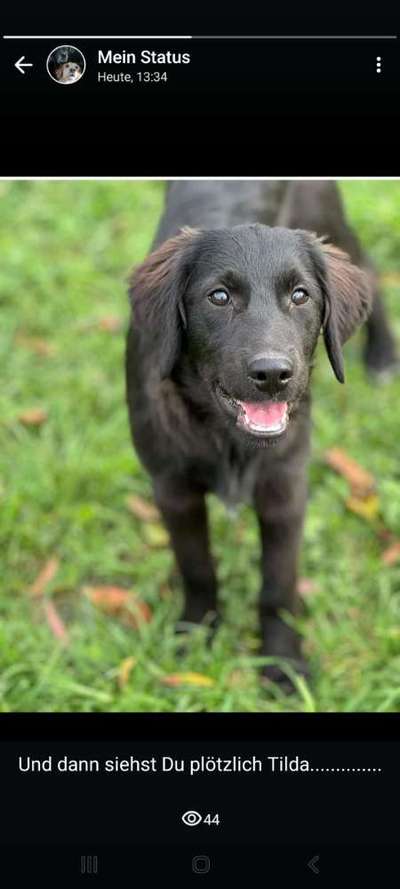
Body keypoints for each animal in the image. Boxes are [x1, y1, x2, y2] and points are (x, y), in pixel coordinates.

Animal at [127, 179, 394, 680]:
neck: (226, 436)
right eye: (218, 297)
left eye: (300, 296)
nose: (272, 374)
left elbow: (278, 586)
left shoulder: (285, 491)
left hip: (330, 219)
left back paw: (384, 354)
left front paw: (283, 663)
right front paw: (196, 635)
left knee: (372, 272)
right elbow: (196, 567)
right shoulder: (172, 489)